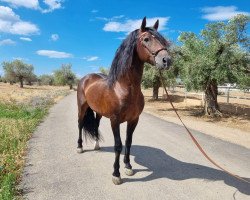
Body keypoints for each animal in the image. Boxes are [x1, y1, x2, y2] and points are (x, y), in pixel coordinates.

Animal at [76, 16, 170, 184]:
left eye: (162, 40)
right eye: (146, 39)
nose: (167, 60)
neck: (123, 88)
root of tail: (86, 78)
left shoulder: (134, 119)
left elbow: (128, 142)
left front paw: (128, 166)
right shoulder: (115, 120)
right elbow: (118, 145)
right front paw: (116, 173)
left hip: (98, 112)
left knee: (96, 125)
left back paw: (96, 145)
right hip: (82, 108)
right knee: (80, 124)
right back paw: (80, 147)